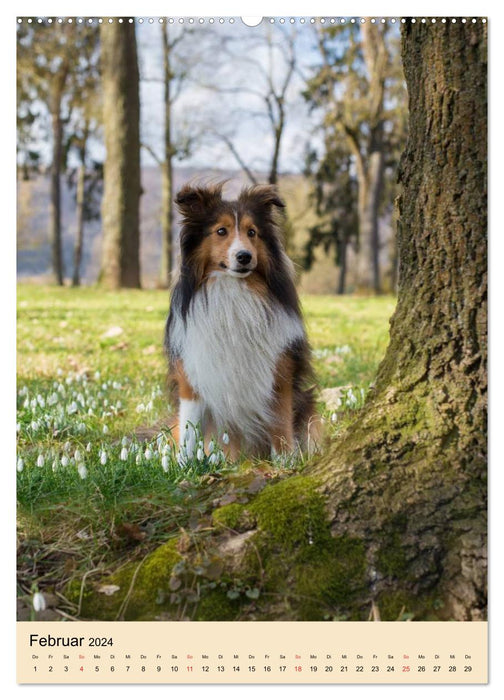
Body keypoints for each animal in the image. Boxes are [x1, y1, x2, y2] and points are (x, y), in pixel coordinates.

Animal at [163, 183, 316, 462]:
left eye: (252, 232)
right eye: (221, 231)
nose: (244, 256)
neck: (233, 291)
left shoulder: (279, 374)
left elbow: (279, 423)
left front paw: (285, 462)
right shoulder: (191, 375)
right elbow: (189, 431)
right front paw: (183, 465)